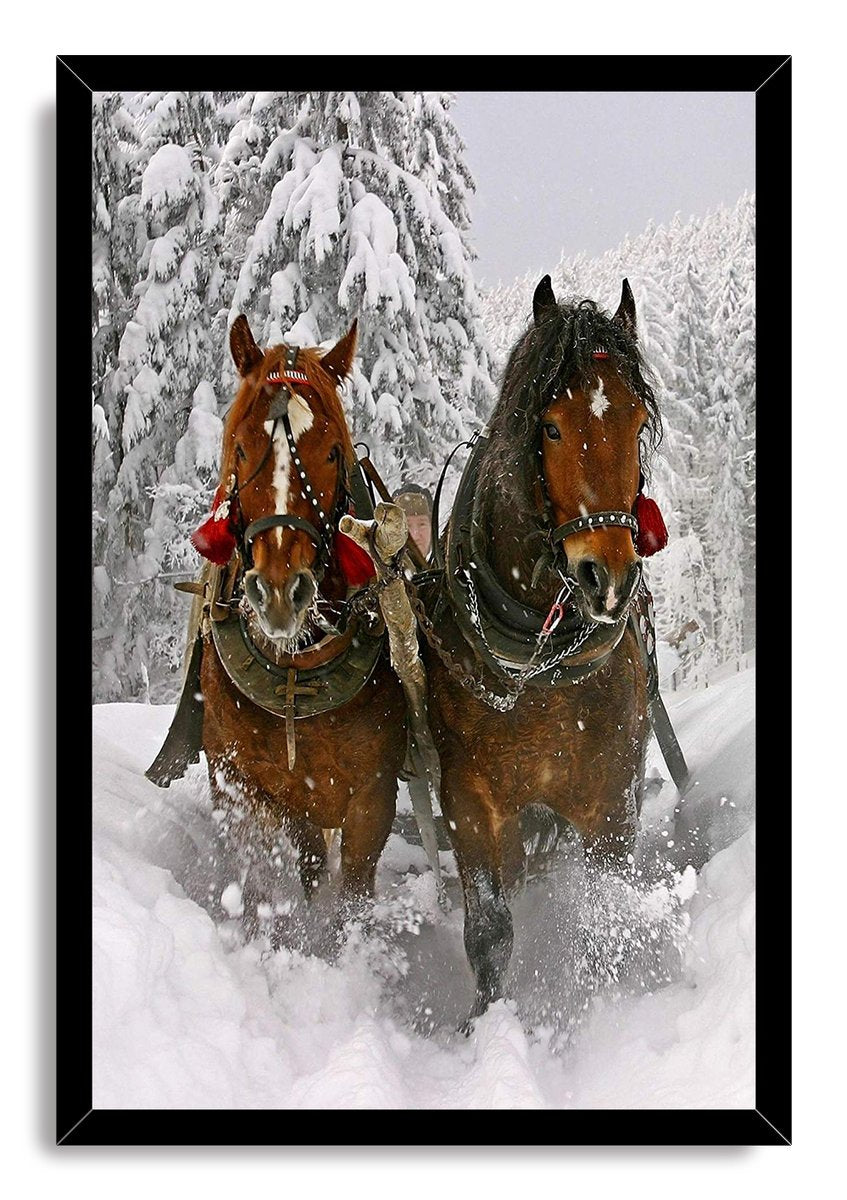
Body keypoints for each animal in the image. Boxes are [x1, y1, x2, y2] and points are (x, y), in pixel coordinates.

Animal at [148, 316, 407, 937]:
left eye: (334, 453)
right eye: (241, 446)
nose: (281, 593)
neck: (296, 670)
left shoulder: (372, 795)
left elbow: (353, 893)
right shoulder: (248, 783)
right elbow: (273, 877)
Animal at [423, 277, 665, 1021]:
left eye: (636, 424)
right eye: (551, 426)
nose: (607, 578)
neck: (539, 666)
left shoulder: (610, 797)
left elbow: (604, 915)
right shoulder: (470, 802)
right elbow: (490, 931)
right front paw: (484, 1024)